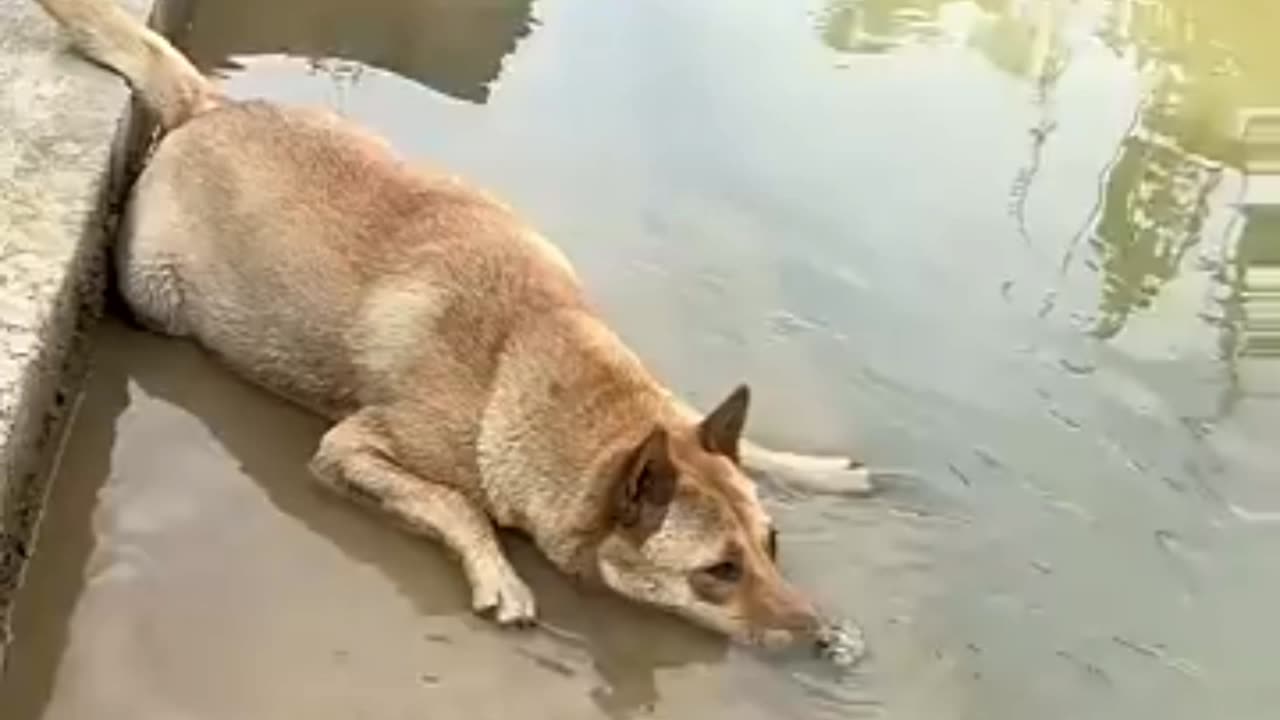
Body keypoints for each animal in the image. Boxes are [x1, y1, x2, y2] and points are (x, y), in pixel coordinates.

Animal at [40, 0, 880, 655]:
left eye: (771, 547)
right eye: (717, 573)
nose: (821, 637)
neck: (535, 362)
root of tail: (207, 105)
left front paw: (812, 468)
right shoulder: (350, 449)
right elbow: (457, 503)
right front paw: (498, 572)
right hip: (155, 295)